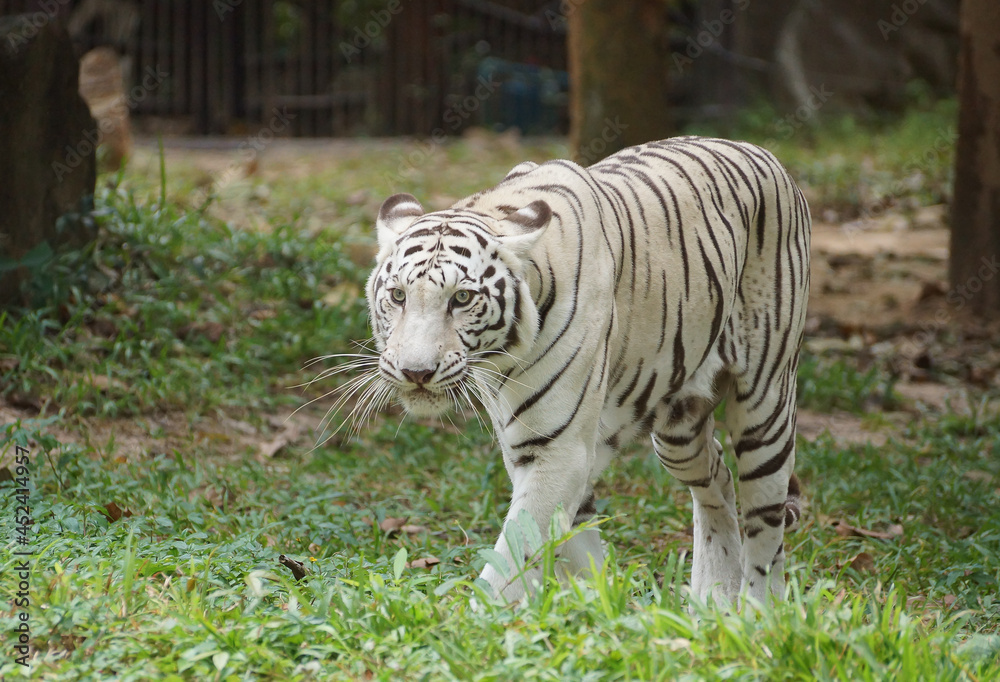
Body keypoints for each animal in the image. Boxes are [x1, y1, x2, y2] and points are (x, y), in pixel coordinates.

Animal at [359, 136, 810, 607]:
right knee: (716, 479)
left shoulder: (559, 450)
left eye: (461, 298)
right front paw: (594, 607)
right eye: (397, 295)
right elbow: (570, 547)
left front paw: (487, 617)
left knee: (765, 526)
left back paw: (757, 609)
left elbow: (513, 555)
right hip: (678, 429)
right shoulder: (534, 451)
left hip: (766, 405)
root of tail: (757, 149)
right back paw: (715, 599)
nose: (416, 372)